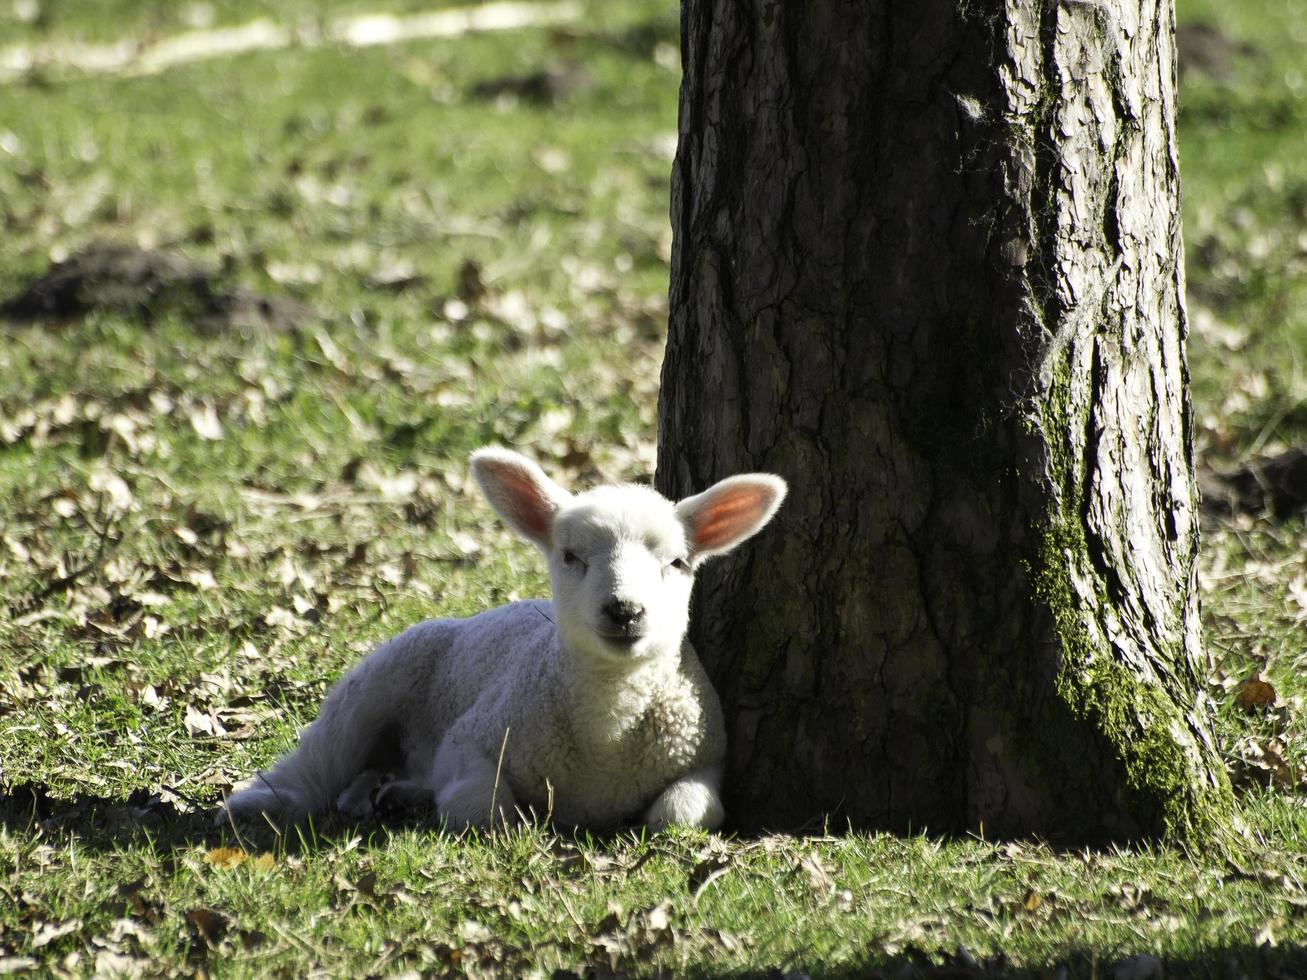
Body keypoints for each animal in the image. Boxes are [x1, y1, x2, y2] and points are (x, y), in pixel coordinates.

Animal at [222, 449, 784, 831]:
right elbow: (481, 810)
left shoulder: (707, 759)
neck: (606, 739)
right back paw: (258, 803)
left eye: (677, 562)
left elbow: (683, 813)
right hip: (375, 684)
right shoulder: (470, 737)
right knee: (320, 761)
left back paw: (400, 794)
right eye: (570, 556)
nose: (624, 610)